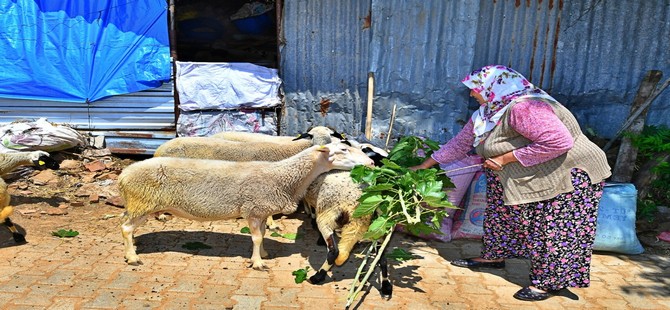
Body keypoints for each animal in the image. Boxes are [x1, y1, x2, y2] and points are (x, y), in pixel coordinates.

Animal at [120, 141, 378, 268]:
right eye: (343, 149)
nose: (371, 163)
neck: (283, 176)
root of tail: (123, 175)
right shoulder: (252, 210)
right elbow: (255, 237)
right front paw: (258, 263)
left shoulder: (262, 212)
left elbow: (262, 235)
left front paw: (263, 253)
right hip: (142, 203)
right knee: (125, 228)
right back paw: (132, 257)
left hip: (137, 205)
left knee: (127, 227)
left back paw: (133, 248)